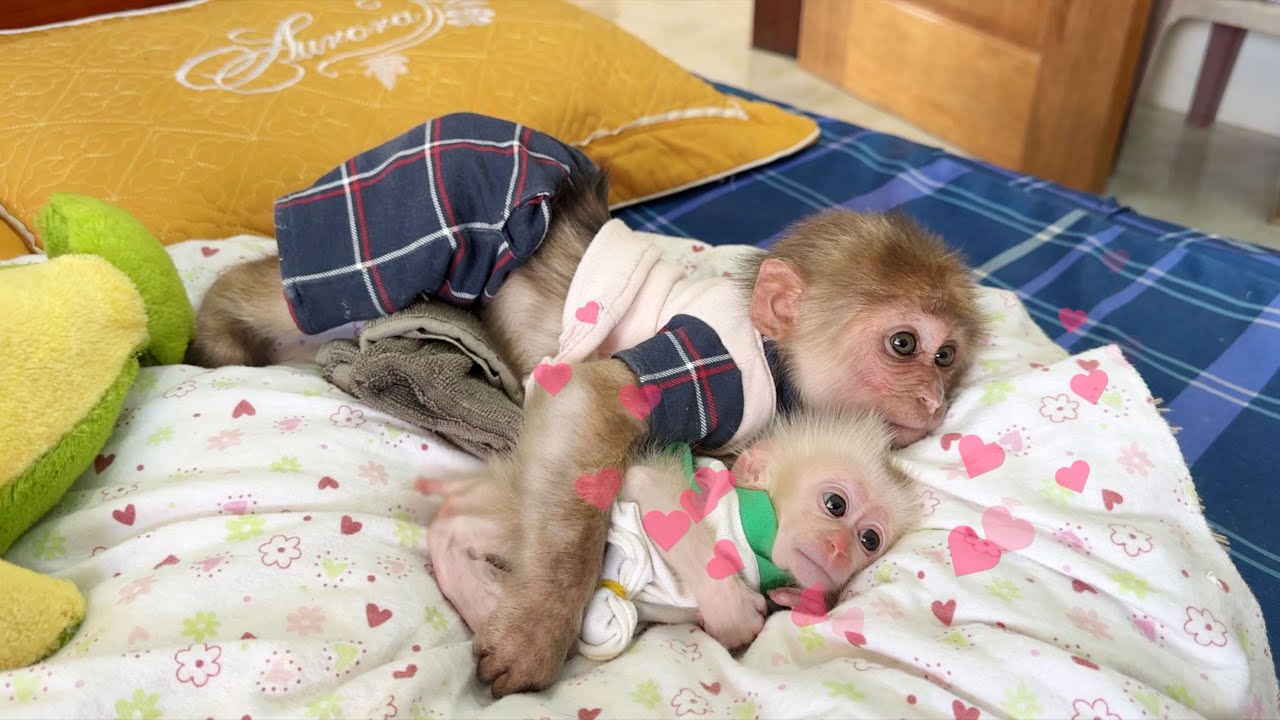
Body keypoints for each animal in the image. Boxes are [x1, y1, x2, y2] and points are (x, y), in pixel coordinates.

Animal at [424, 407, 921, 658]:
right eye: (835, 504)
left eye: (869, 540)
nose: (837, 549)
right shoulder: (708, 491)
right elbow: (645, 485)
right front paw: (732, 610)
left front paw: (801, 600)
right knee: (462, 523)